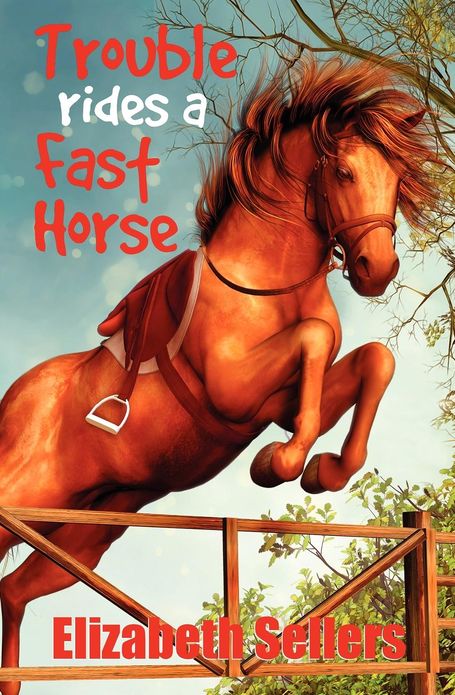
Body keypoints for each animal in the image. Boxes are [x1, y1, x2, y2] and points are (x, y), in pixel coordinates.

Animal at [0, 57, 439, 694]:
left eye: (399, 176)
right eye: (345, 171)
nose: (376, 270)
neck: (267, 282)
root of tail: (14, 401)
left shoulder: (279, 402)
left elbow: (372, 359)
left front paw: (324, 471)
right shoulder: (235, 392)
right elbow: (314, 338)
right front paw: (278, 465)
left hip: (84, 531)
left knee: (14, 591)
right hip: (26, 495)